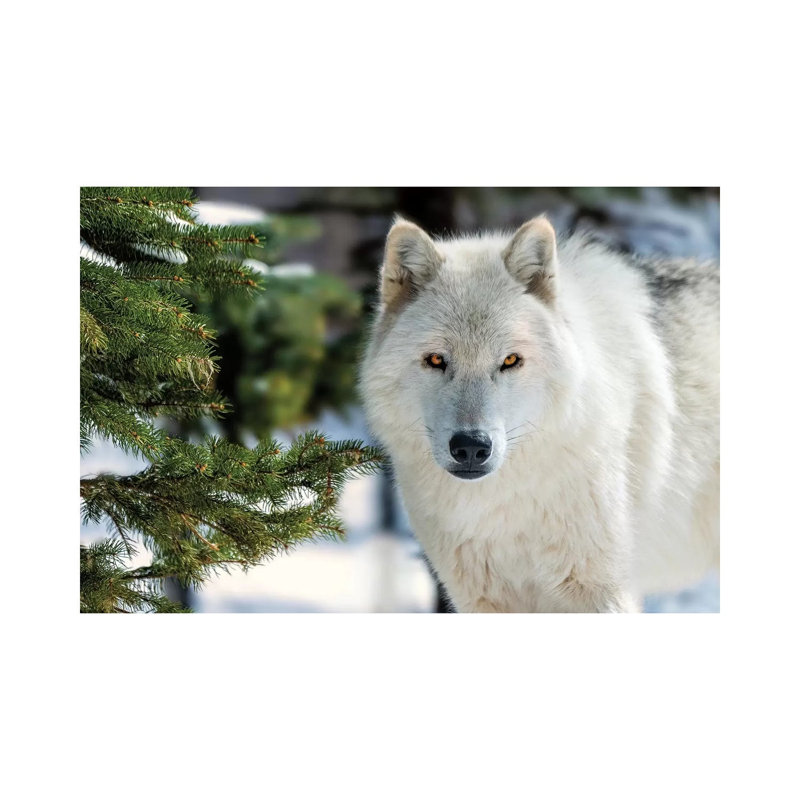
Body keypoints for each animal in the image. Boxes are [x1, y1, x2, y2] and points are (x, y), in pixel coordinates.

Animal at [359, 214, 719, 612]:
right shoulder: (484, 600)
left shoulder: (600, 593)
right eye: (436, 360)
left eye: (510, 360)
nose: (470, 446)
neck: (502, 505)